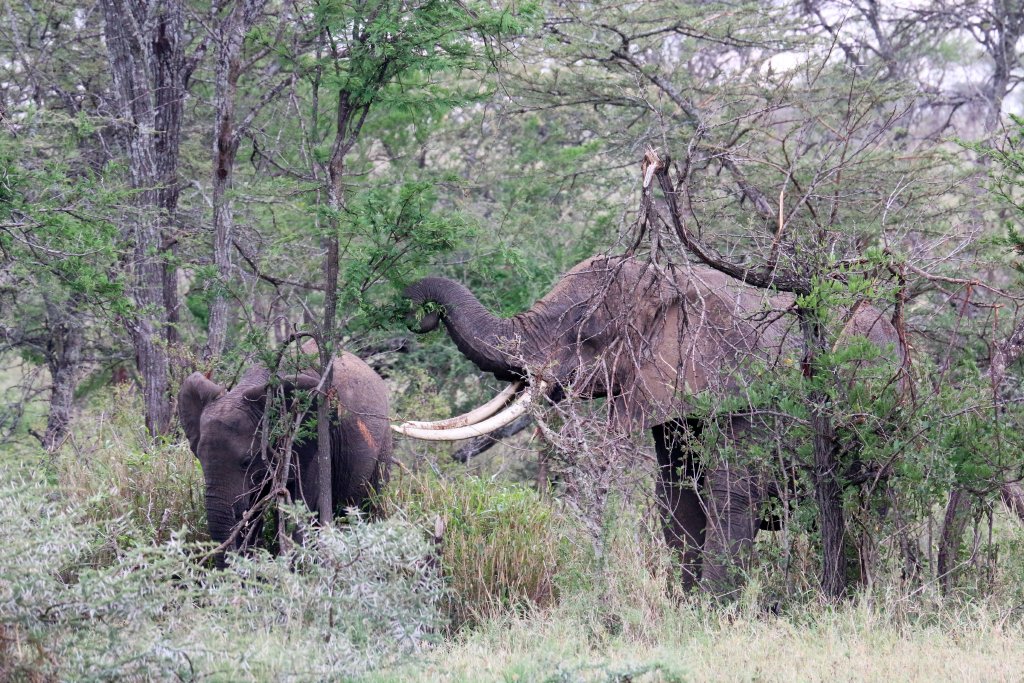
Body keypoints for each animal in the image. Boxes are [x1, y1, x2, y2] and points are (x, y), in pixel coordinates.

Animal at [394, 254, 903, 592]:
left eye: (584, 327)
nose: (417, 310)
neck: (673, 283)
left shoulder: (744, 392)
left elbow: (732, 495)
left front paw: (714, 612)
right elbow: (675, 496)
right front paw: (687, 607)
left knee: (872, 501)